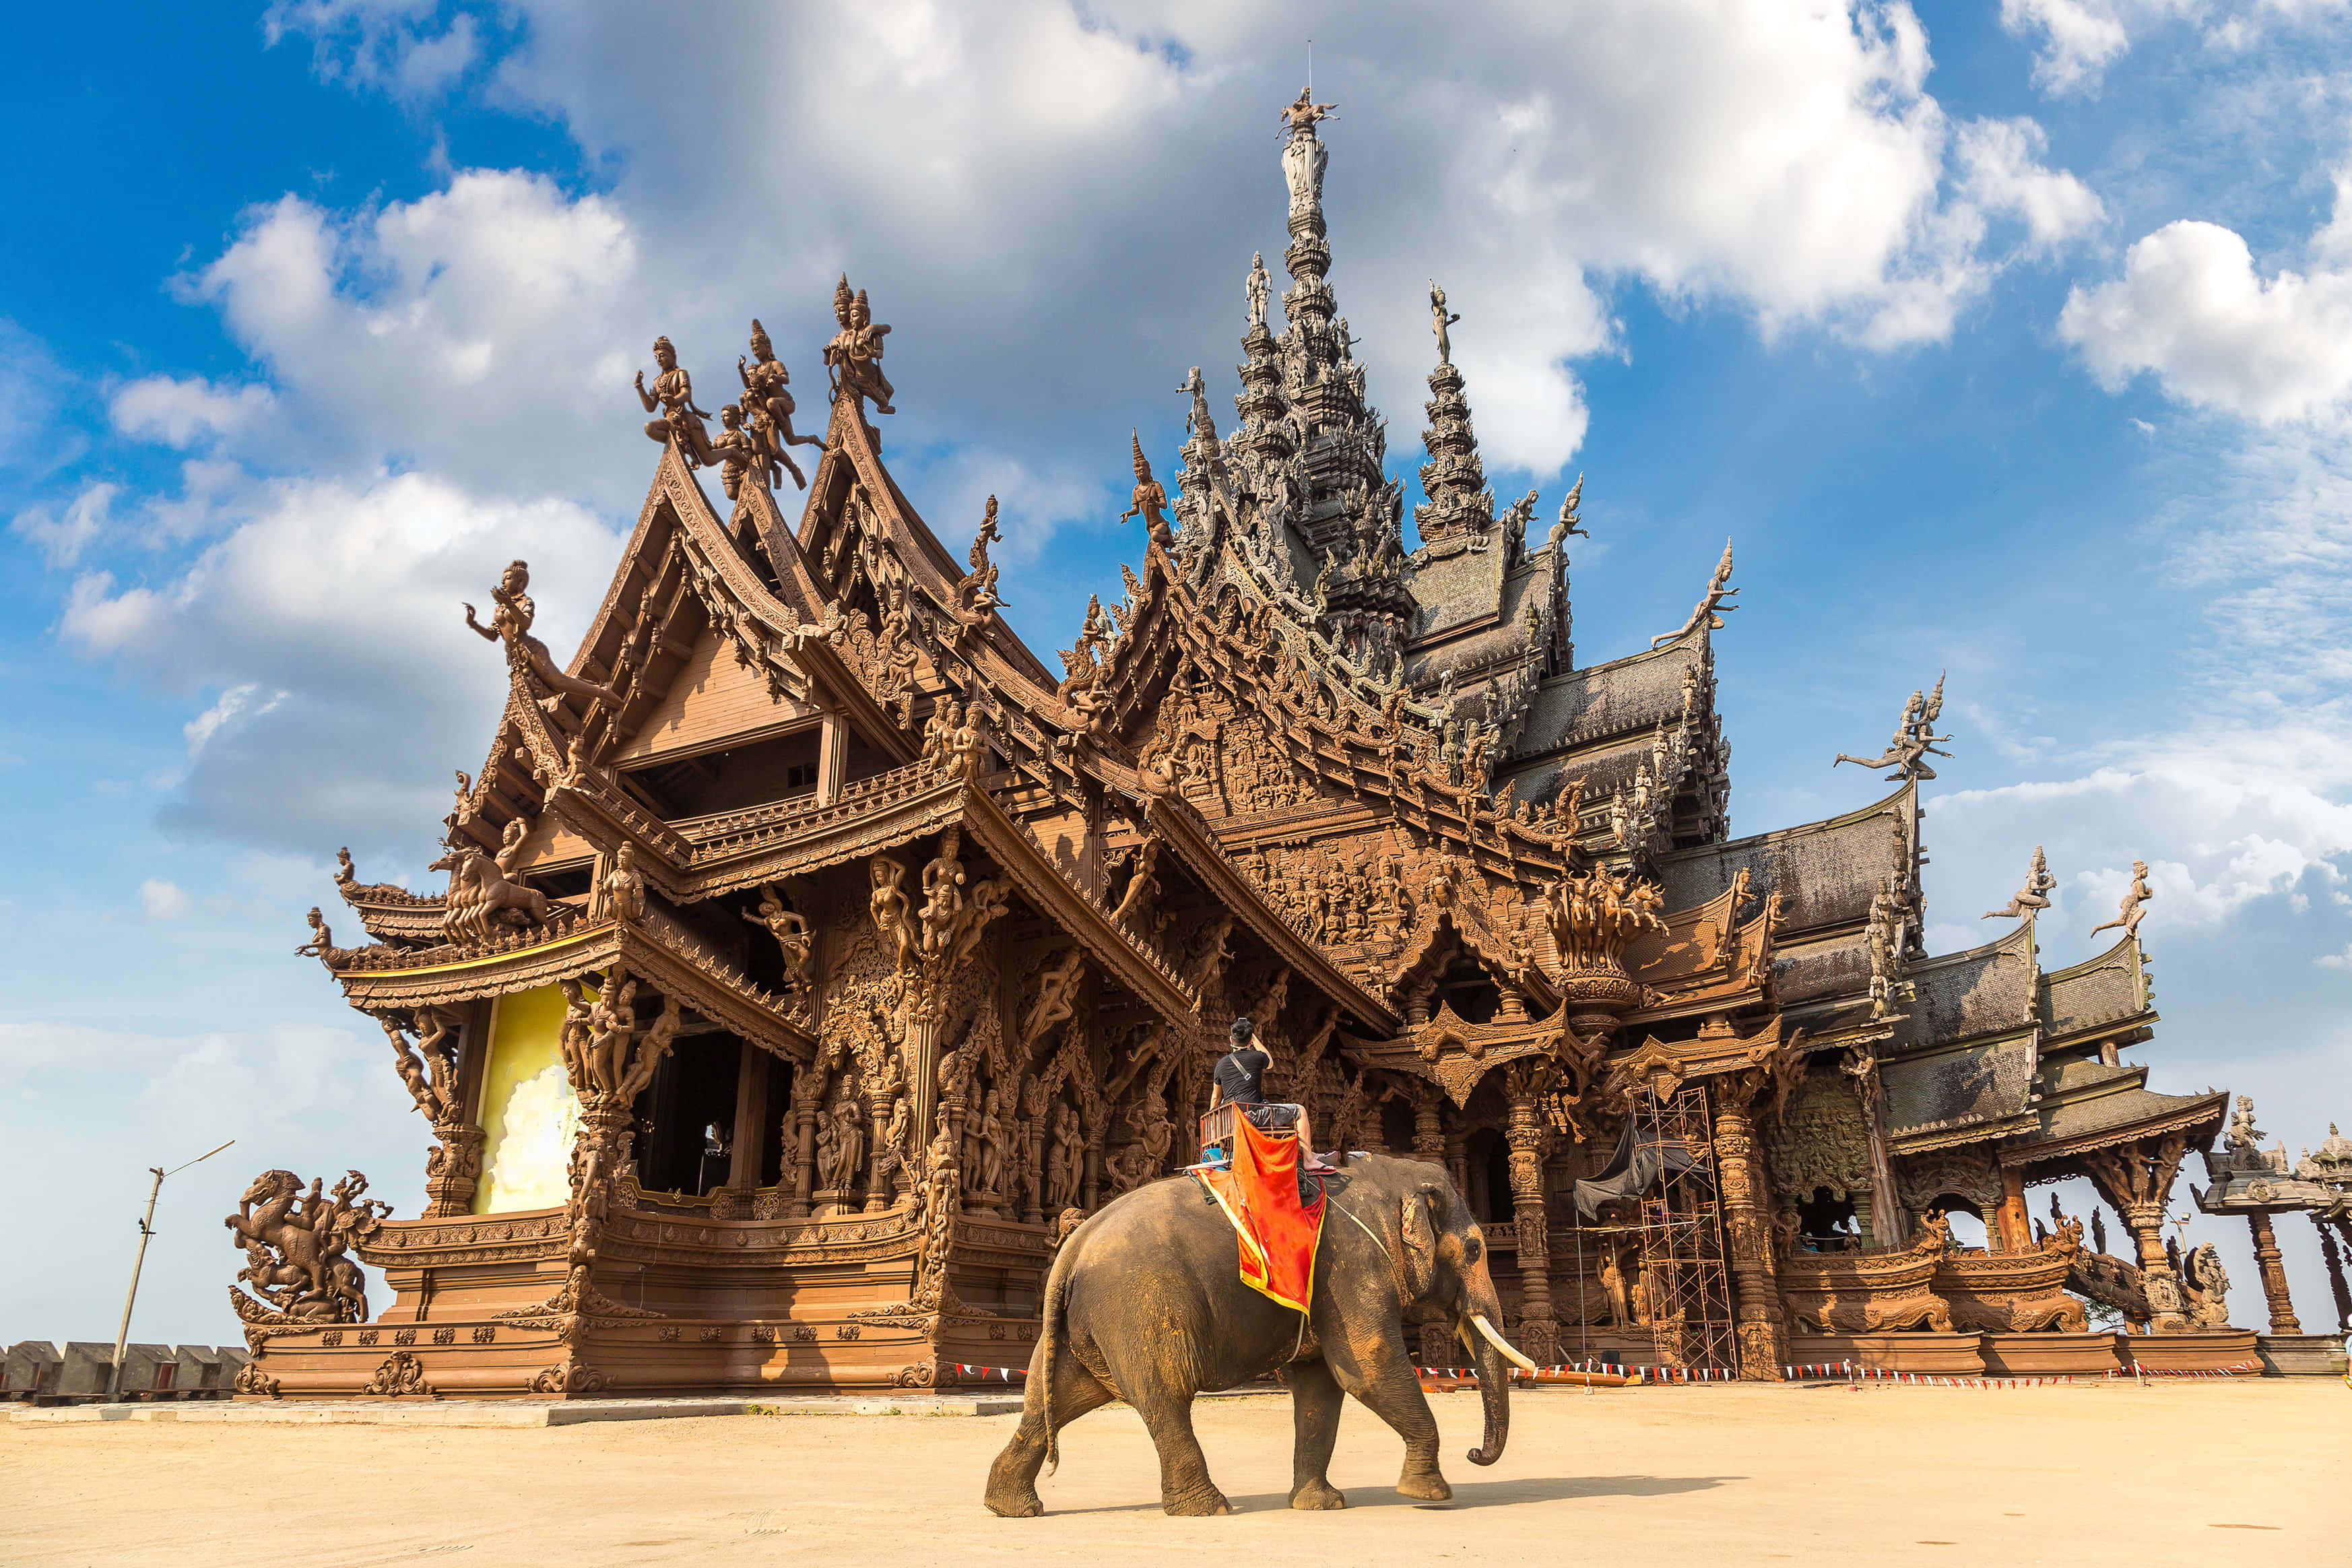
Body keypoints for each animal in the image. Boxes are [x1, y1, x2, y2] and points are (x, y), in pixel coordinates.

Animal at [984, 1152, 1537, 1517]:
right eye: (1474, 1249)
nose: (1475, 1454)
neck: (1388, 1173)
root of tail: (1073, 1247)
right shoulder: (1352, 1267)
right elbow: (1368, 1366)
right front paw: (1429, 1496)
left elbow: (1320, 1386)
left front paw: (1321, 1506)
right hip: (1139, 1308)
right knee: (1165, 1398)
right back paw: (1210, 1509)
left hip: (1083, 1325)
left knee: (1052, 1399)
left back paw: (1012, 1508)